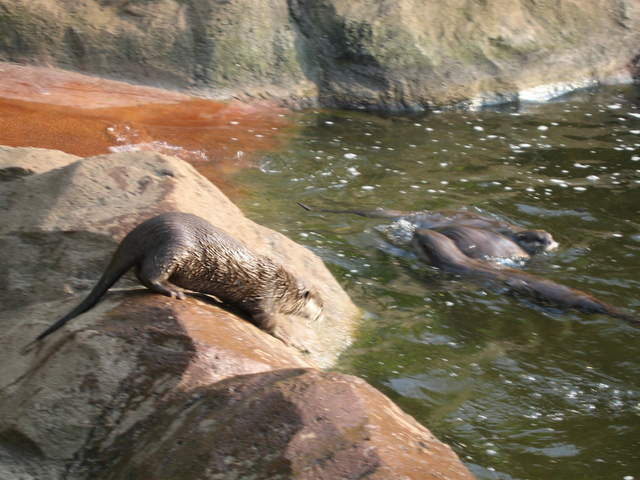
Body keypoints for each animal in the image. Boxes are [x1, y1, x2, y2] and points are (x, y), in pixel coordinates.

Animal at [33, 212, 323, 343]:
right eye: (321, 304)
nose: (322, 314)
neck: (283, 286)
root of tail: (141, 231)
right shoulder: (266, 295)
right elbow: (268, 320)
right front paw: (291, 339)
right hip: (175, 247)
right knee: (149, 273)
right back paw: (174, 290)